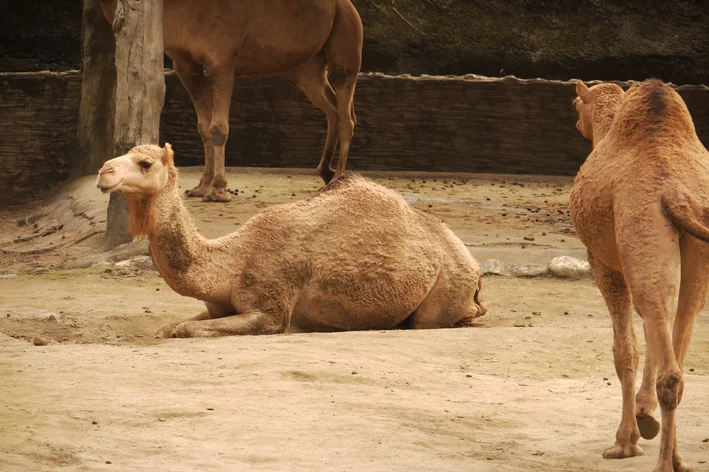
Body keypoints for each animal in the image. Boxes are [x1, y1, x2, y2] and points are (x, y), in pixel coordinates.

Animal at [97, 0, 362, 201]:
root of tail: (347, 5)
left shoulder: (221, 62)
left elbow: (218, 128)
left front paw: (217, 190)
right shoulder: (185, 65)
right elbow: (203, 127)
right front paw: (201, 186)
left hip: (347, 37)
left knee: (346, 112)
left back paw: (339, 179)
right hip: (306, 68)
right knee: (332, 108)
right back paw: (325, 173)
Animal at [97, 143, 490, 336]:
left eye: (145, 163)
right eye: (125, 154)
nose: (103, 171)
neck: (231, 261)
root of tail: (473, 265)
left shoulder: (271, 311)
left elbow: (185, 330)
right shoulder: (218, 306)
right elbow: (172, 327)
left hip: (448, 287)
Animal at [568, 78, 708, 472]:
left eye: (575, 104)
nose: (576, 124)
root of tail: (676, 194)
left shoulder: (603, 263)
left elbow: (625, 348)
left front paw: (625, 441)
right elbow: (650, 336)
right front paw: (645, 418)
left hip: (642, 228)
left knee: (670, 371)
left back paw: (663, 463)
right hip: (692, 253)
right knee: (678, 338)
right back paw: (677, 458)